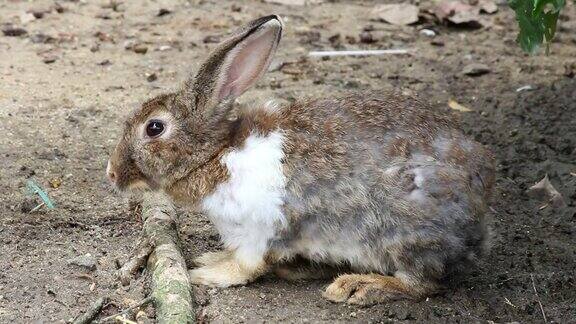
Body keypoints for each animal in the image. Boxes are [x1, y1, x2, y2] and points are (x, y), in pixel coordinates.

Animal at [107, 14, 496, 304]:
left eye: (154, 128)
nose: (111, 172)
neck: (216, 154)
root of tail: (479, 209)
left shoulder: (260, 229)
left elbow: (247, 266)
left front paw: (206, 273)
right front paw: (212, 258)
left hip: (403, 230)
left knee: (423, 283)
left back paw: (358, 286)